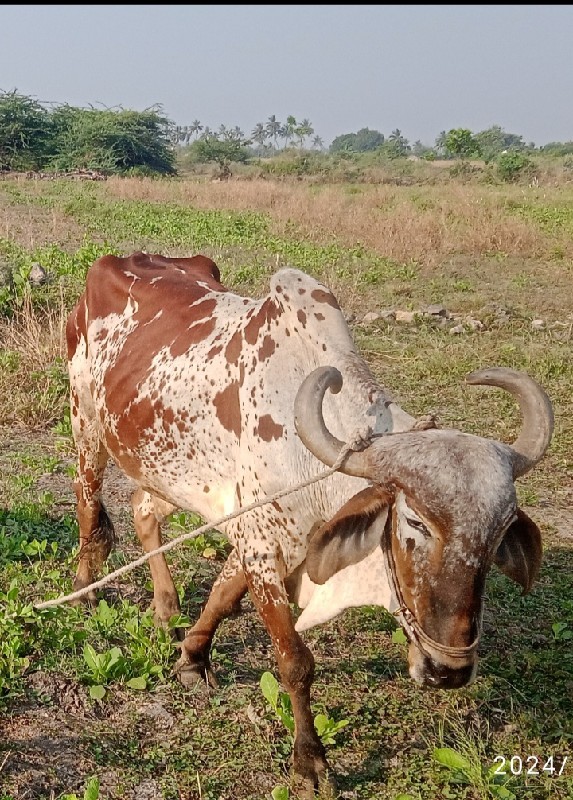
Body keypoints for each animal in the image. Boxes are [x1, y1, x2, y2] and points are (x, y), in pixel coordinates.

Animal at [65, 253, 552, 792]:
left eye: (499, 534)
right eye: (415, 523)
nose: (448, 670)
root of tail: (115, 261)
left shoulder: (256, 530)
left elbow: (222, 593)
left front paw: (192, 656)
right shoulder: (263, 547)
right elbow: (295, 661)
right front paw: (309, 761)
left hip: (169, 469)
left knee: (143, 508)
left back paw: (166, 606)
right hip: (86, 424)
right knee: (88, 504)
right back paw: (85, 587)